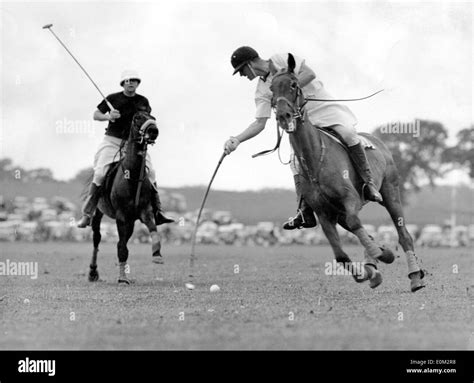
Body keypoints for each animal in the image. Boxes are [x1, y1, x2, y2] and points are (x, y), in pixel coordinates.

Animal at [88, 111, 164, 284]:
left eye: (153, 117)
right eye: (137, 118)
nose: (153, 131)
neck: (132, 176)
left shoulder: (144, 211)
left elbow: (153, 229)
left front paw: (157, 254)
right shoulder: (121, 216)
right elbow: (122, 248)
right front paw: (122, 278)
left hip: (130, 221)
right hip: (98, 212)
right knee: (97, 238)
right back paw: (93, 272)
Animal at [270, 54, 426, 294]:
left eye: (294, 84)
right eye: (271, 88)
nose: (283, 115)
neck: (315, 158)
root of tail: (379, 141)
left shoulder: (350, 198)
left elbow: (356, 223)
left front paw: (381, 254)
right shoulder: (324, 213)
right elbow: (341, 255)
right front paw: (371, 269)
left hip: (391, 193)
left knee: (404, 234)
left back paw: (415, 277)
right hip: (340, 213)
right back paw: (375, 264)